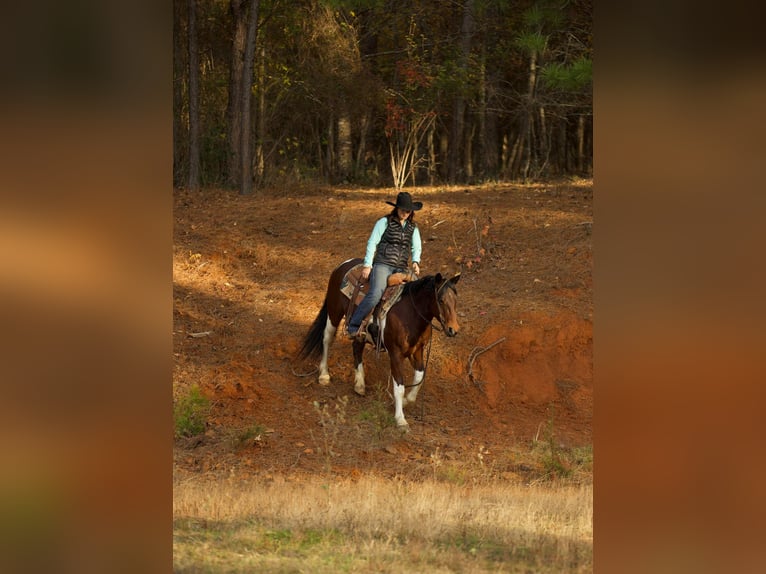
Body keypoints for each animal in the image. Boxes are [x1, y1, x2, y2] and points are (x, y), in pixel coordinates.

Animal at [296, 260, 460, 432]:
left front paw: (407, 401)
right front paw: (400, 419)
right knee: (327, 338)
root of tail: (342, 265)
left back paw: (360, 384)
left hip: (359, 331)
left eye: (455, 300)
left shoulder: (417, 350)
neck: (410, 313)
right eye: (441, 300)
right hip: (334, 312)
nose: (453, 329)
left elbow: (420, 377)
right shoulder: (395, 354)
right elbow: (399, 386)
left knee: (356, 347)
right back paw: (324, 375)